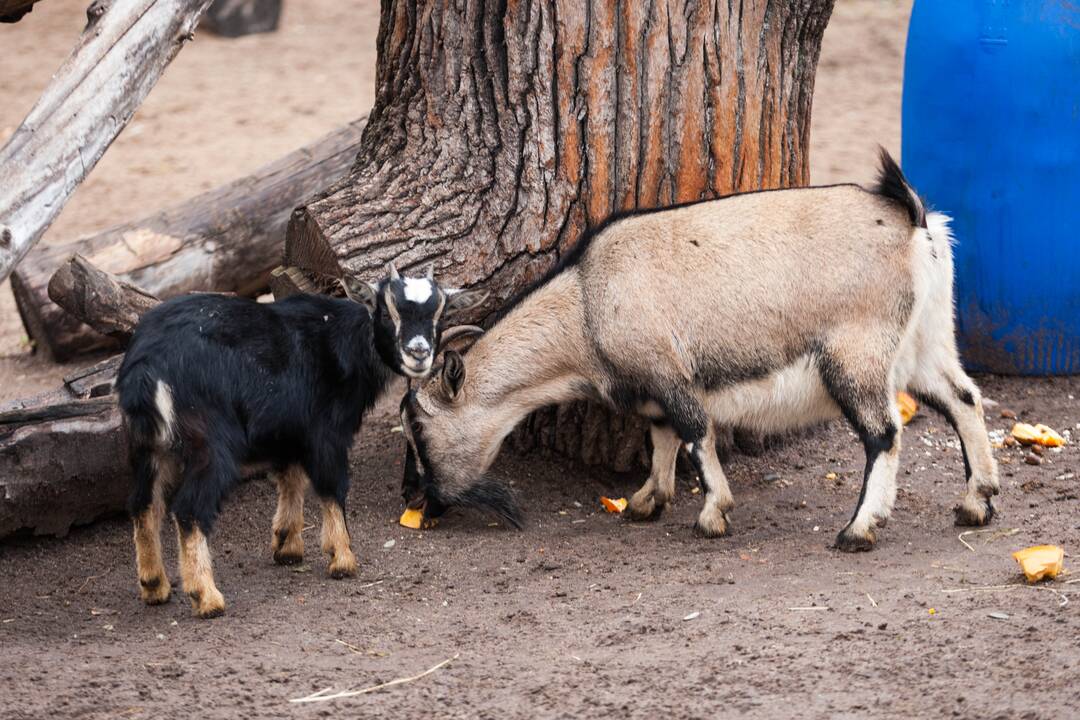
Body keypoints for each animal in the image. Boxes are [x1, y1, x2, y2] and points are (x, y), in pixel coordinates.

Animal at [118, 267, 486, 617]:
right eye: (386, 312)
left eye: (440, 314)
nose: (418, 353)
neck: (341, 340)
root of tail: (147, 367)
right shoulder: (326, 432)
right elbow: (332, 487)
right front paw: (342, 557)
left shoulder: (289, 429)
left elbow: (290, 477)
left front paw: (287, 544)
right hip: (210, 444)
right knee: (189, 510)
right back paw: (207, 598)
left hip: (145, 445)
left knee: (144, 504)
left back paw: (154, 585)